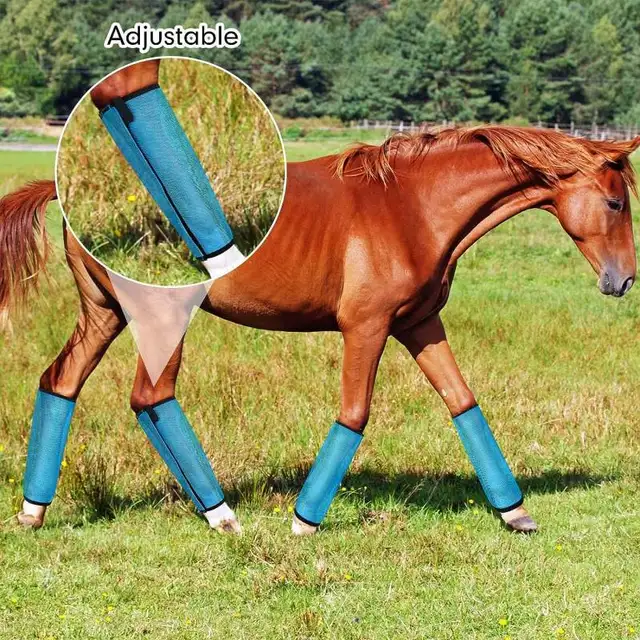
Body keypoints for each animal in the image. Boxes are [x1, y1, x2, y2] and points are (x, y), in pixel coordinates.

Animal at [1, 124, 637, 535]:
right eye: (615, 203)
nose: (624, 280)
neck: (409, 207)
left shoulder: (419, 324)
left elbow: (462, 401)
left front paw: (515, 512)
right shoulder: (366, 329)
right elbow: (354, 415)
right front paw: (304, 521)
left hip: (104, 315)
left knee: (61, 383)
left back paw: (34, 512)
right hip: (160, 323)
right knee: (149, 397)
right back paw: (221, 516)